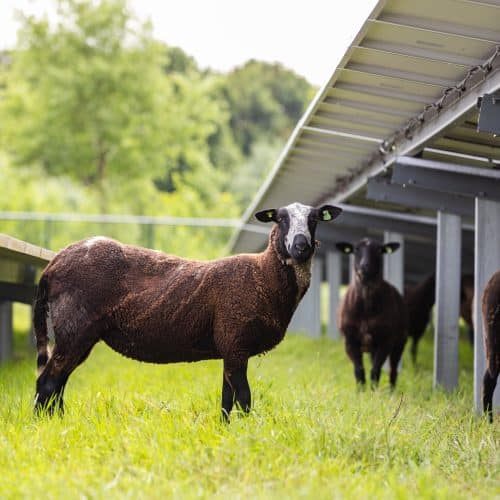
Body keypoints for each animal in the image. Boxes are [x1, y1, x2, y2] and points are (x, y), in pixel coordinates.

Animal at [33, 202, 342, 418]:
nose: (301, 246)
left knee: (58, 383)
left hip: (79, 334)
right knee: (47, 382)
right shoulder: (235, 340)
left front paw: (226, 432)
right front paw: (249, 435)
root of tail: (53, 265)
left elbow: (226, 401)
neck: (262, 274)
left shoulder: (229, 347)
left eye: (314, 219)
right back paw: (44, 426)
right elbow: (244, 399)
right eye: (280, 218)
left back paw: (58, 422)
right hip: (74, 326)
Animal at [334, 239, 408, 390]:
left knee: (393, 369)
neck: (366, 310)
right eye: (355, 249)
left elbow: (375, 370)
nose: (365, 266)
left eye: (380, 250)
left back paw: (391, 391)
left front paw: (374, 392)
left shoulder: (386, 339)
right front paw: (361, 391)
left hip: (400, 340)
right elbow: (359, 370)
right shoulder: (349, 339)